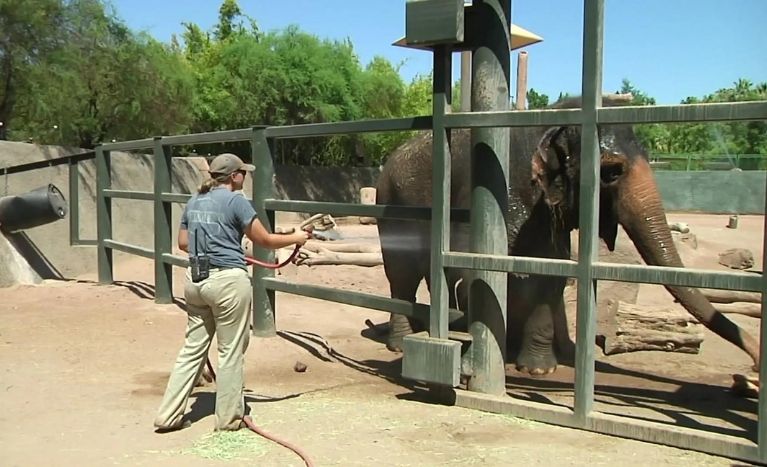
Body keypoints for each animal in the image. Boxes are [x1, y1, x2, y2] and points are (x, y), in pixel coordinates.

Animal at [376, 95, 760, 376]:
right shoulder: (488, 196)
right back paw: (402, 342)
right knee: (402, 273)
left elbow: (552, 273)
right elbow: (474, 271)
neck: (549, 119)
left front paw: (538, 370)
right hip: (391, 202)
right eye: (612, 172)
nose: (755, 365)